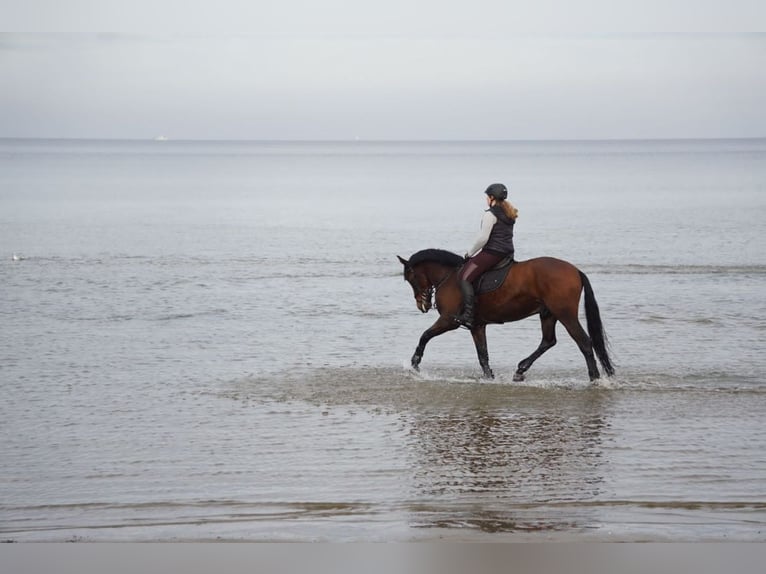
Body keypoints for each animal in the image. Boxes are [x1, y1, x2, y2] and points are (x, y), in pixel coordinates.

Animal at [397, 249, 614, 382]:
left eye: (410, 278)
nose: (422, 305)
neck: (449, 277)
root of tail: (575, 271)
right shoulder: (477, 326)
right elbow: (483, 355)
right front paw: (489, 378)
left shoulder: (449, 320)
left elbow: (425, 335)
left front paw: (414, 364)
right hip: (548, 314)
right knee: (548, 341)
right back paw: (520, 370)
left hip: (565, 314)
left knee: (584, 342)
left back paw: (594, 378)